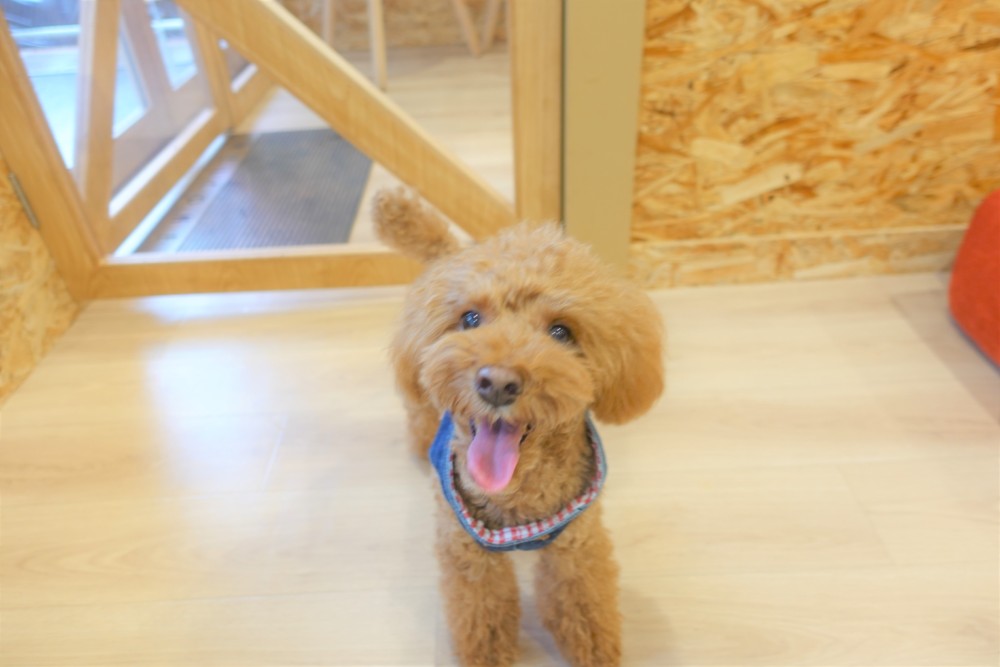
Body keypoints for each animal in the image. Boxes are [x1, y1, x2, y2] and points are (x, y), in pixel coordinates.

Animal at [373, 188, 664, 667]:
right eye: (471, 319)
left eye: (561, 332)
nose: (497, 382)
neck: (517, 499)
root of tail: (449, 253)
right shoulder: (469, 557)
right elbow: (483, 615)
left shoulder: (577, 549)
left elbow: (584, 606)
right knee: (419, 414)